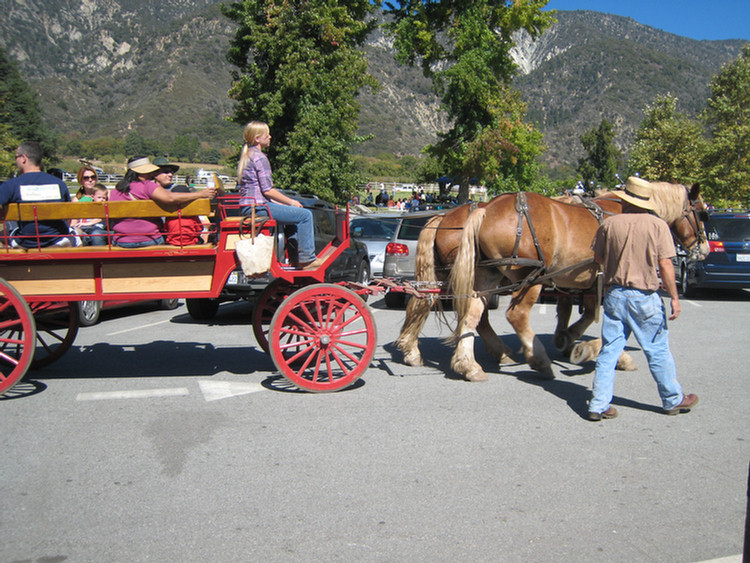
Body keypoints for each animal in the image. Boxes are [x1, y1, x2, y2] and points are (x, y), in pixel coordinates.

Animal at [400, 183, 712, 382]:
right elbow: (608, 322)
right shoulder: (606, 283)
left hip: (484, 276)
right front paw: (595, 350)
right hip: (529, 277)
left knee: (465, 311)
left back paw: (464, 363)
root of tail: (484, 211)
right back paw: (534, 359)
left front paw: (567, 338)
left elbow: (573, 313)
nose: (704, 249)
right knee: (512, 315)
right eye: (702, 212)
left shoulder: (579, 282)